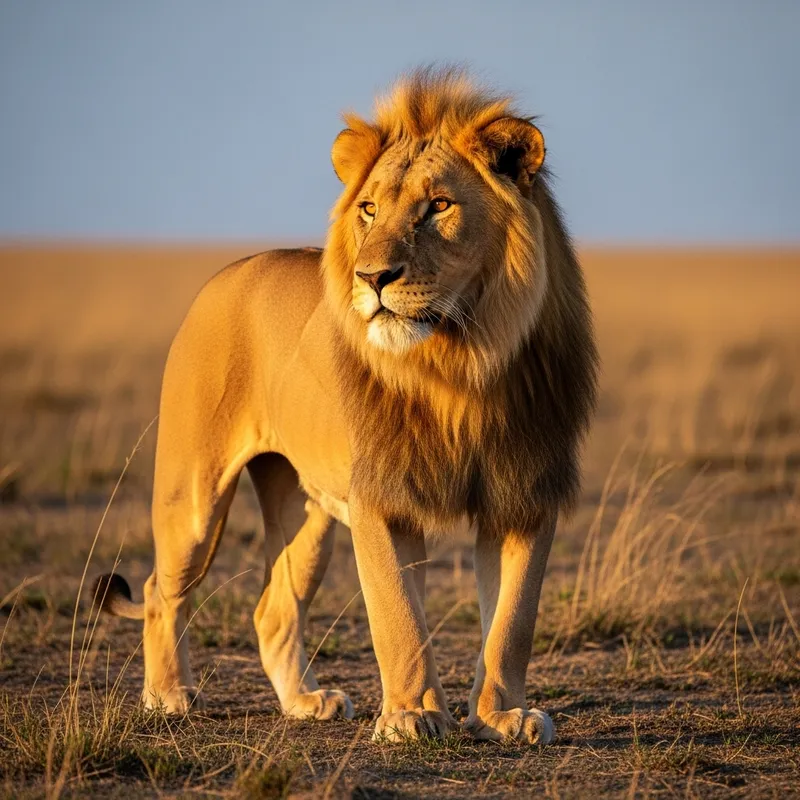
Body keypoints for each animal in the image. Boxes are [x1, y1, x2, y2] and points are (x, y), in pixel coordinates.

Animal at [94, 67, 598, 745]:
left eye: (440, 205)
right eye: (369, 209)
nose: (372, 277)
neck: (463, 363)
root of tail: (230, 270)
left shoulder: (523, 492)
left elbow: (512, 622)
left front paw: (501, 717)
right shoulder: (382, 497)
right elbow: (398, 617)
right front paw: (411, 716)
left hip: (307, 518)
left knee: (272, 608)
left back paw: (305, 702)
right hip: (194, 495)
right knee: (159, 588)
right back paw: (168, 695)